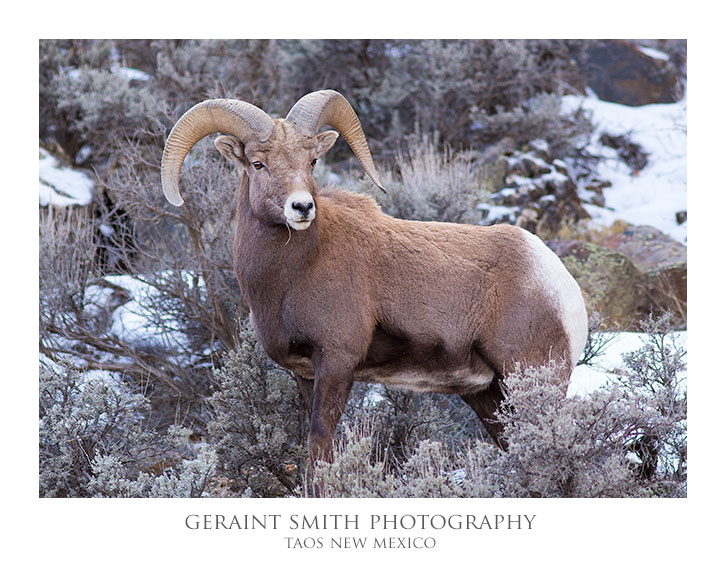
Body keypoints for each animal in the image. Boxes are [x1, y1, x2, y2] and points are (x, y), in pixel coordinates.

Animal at [160, 90, 588, 462]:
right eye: (258, 163)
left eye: (311, 162)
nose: (302, 207)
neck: (291, 276)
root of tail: (561, 284)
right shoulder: (305, 374)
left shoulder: (337, 362)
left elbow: (320, 445)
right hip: (487, 395)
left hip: (528, 378)